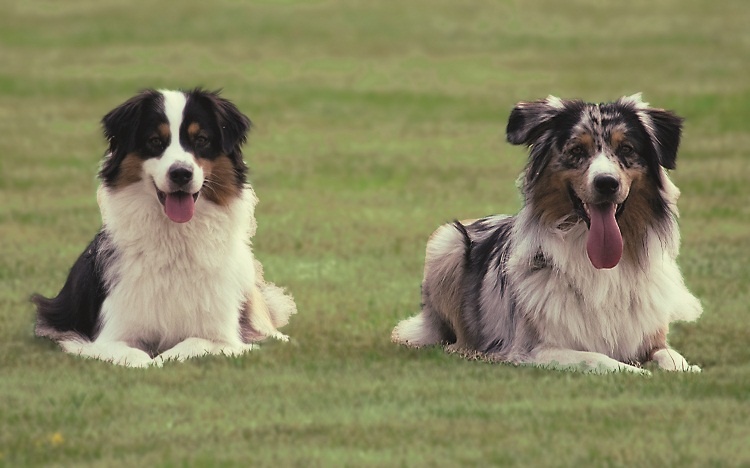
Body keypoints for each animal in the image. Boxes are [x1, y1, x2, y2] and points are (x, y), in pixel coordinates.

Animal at [33, 87, 296, 366]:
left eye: (201, 140)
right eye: (155, 141)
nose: (181, 173)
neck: (175, 238)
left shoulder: (223, 337)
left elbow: (189, 345)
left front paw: (164, 359)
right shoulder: (109, 337)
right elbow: (135, 357)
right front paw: (150, 363)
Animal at [394, 93, 704, 374]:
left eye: (626, 149)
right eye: (577, 151)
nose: (606, 183)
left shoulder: (651, 338)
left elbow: (672, 357)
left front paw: (684, 369)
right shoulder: (534, 349)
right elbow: (598, 358)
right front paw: (637, 372)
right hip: (447, 241)